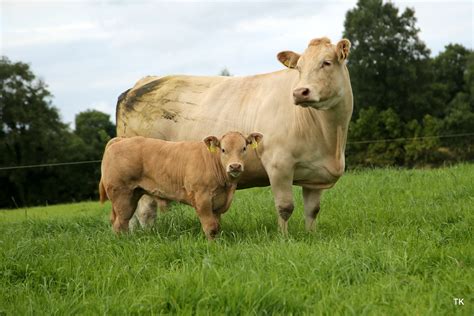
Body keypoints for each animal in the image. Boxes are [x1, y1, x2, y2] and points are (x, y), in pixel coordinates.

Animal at [99, 131, 262, 239]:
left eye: (244, 148)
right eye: (223, 149)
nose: (235, 166)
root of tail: (121, 140)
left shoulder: (218, 203)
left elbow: (217, 226)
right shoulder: (202, 198)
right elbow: (210, 226)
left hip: (133, 194)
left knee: (121, 220)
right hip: (121, 194)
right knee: (120, 223)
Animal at [115, 37, 352, 235]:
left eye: (327, 62)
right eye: (299, 69)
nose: (299, 92)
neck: (331, 140)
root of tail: (141, 84)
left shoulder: (315, 174)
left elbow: (313, 210)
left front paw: (311, 235)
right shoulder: (279, 165)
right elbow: (285, 207)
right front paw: (284, 239)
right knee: (144, 211)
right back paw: (145, 236)